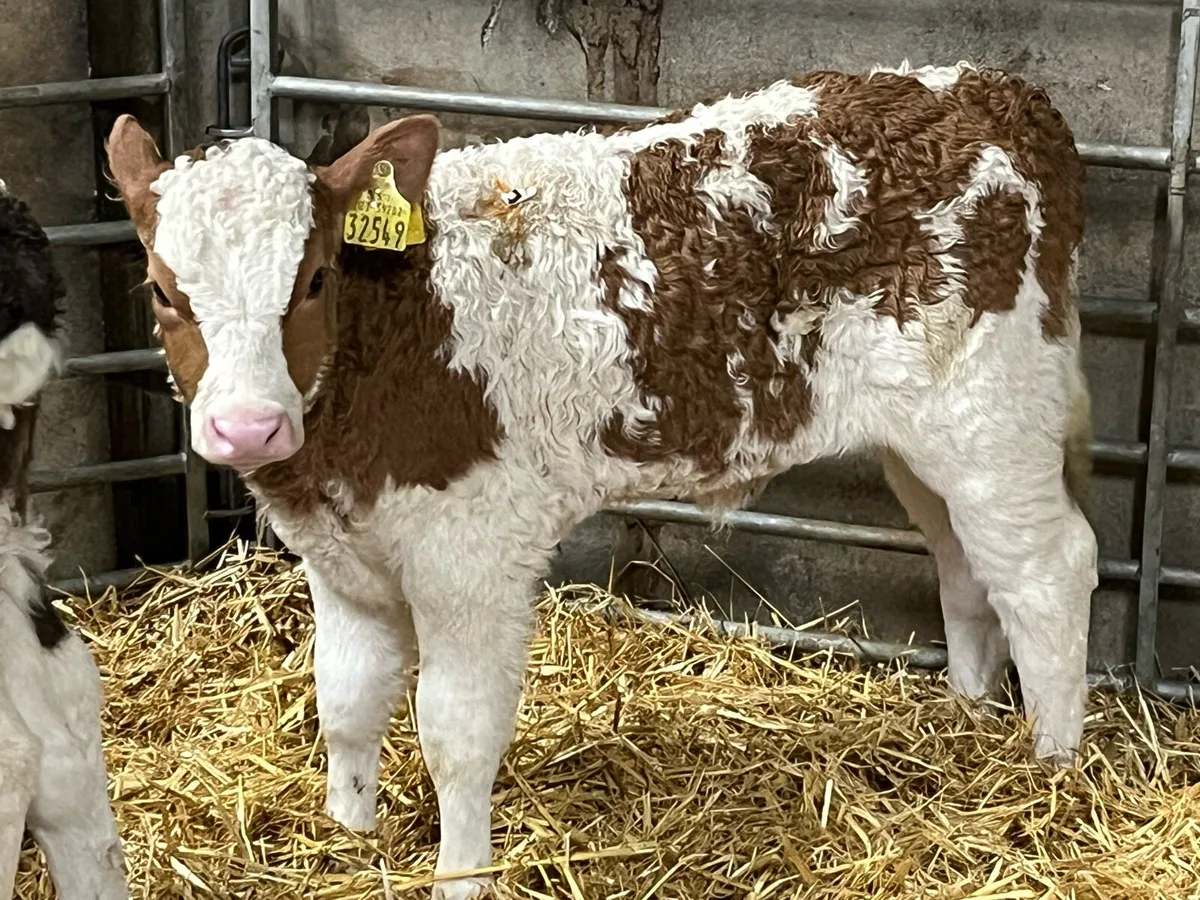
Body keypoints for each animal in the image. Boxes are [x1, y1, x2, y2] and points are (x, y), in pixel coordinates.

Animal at [105, 60, 1096, 899]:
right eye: (160, 290)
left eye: (313, 280)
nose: (247, 426)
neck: (398, 329)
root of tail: (990, 91)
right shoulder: (341, 559)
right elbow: (346, 702)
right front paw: (349, 837)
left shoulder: (472, 555)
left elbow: (456, 733)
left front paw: (460, 876)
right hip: (924, 441)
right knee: (968, 568)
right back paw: (967, 725)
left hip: (992, 412)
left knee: (1048, 573)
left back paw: (1054, 772)